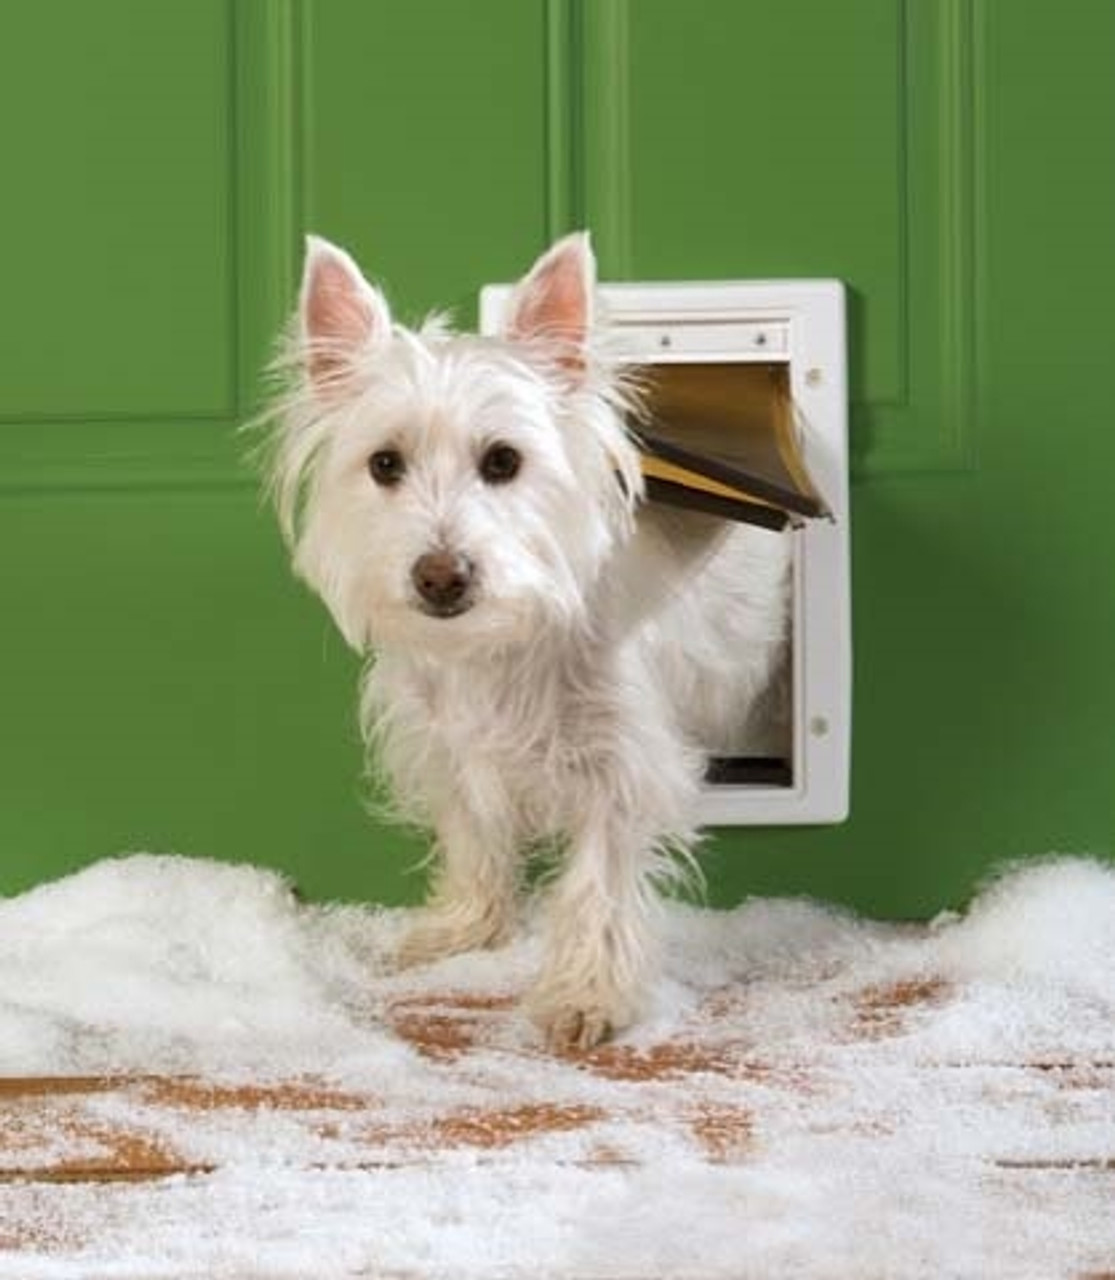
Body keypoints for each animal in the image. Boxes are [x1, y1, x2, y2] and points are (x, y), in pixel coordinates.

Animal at [266, 230, 793, 1049]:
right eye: (384, 463)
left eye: (503, 461)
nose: (441, 576)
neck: (497, 646)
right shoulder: (447, 747)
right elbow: (474, 834)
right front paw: (465, 929)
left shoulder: (621, 767)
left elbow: (598, 882)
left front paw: (587, 996)